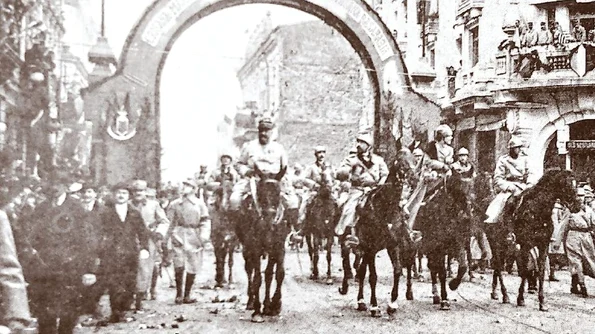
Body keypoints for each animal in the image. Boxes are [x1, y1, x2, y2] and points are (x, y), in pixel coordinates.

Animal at [236, 167, 288, 324]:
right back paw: (250, 302)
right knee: (249, 270)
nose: (269, 216)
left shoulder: (278, 248)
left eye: (278, 192)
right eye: (260, 192)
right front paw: (257, 311)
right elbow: (258, 278)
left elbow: (276, 274)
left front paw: (274, 305)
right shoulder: (255, 249)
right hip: (247, 249)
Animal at [416, 172, 478, 310]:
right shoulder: (436, 247)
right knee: (430, 265)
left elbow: (463, 266)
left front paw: (453, 284)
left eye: (471, 187)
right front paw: (444, 299)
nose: (466, 217)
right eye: (456, 188)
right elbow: (441, 272)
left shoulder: (458, 242)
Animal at [494, 168, 584, 312]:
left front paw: (542, 302)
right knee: (497, 264)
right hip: (497, 242)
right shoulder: (526, 245)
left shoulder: (543, 245)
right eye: (565, 184)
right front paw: (520, 299)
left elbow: (540, 271)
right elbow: (525, 270)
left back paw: (496, 293)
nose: (578, 206)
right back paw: (504, 295)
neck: (538, 211)